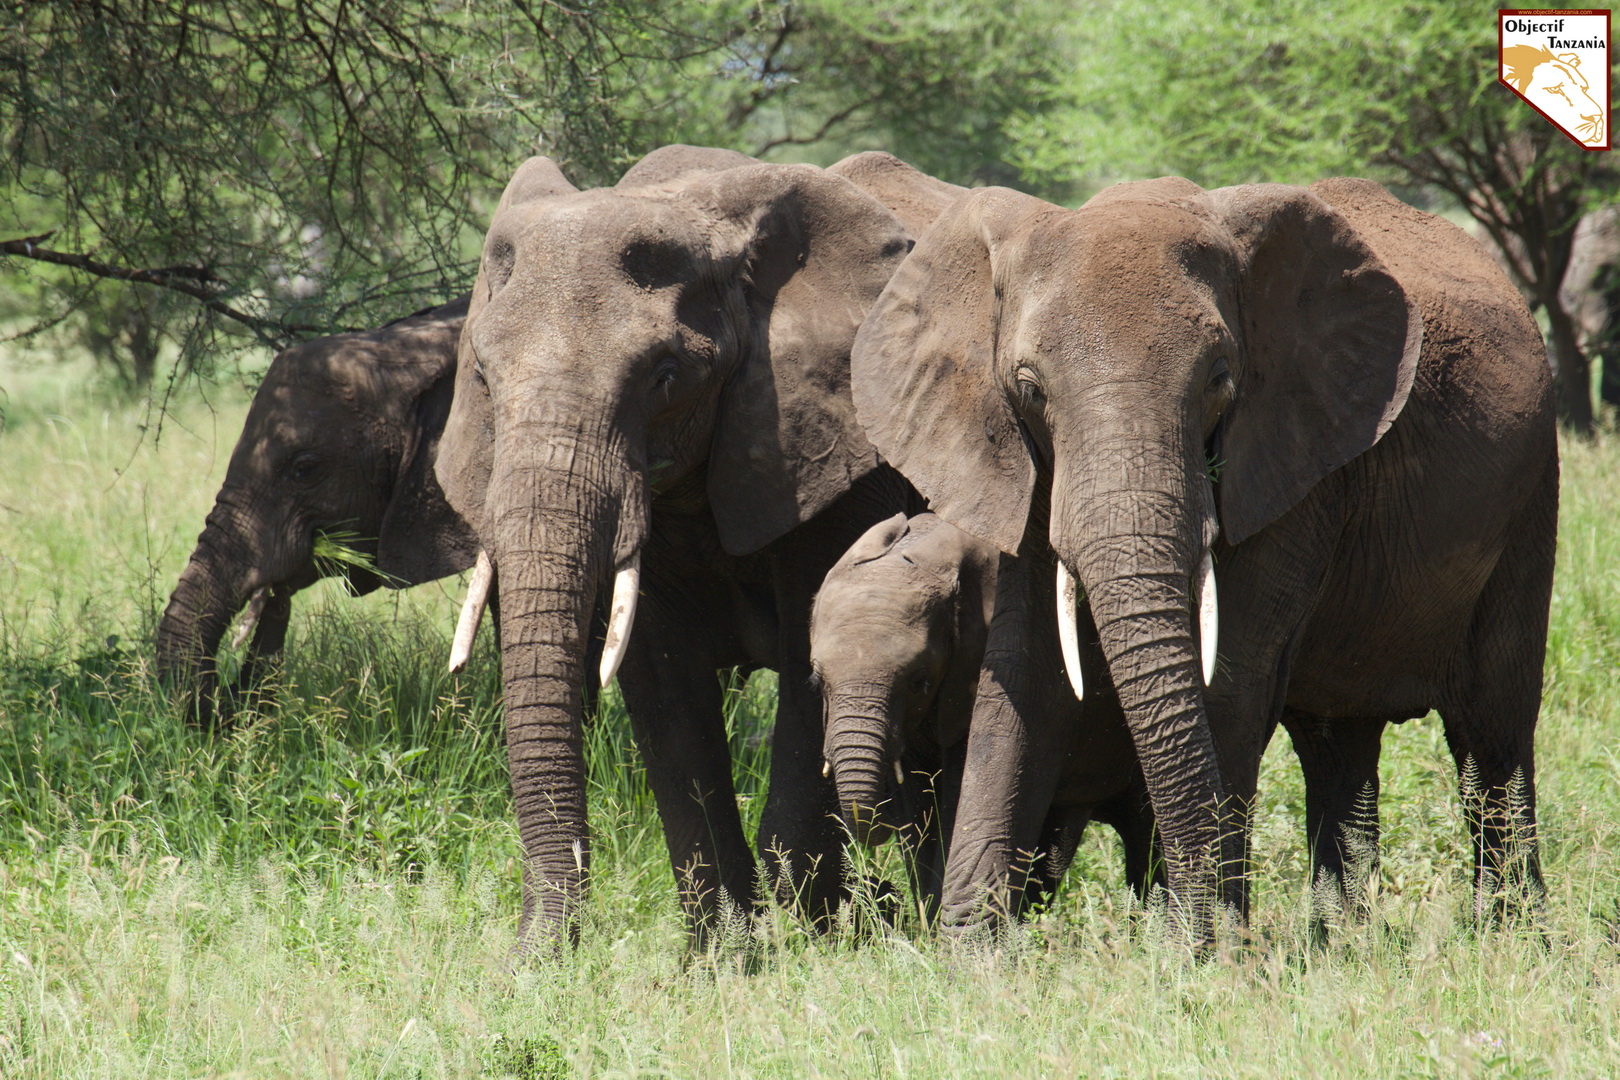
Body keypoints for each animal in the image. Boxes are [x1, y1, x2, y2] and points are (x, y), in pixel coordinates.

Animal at [437, 143, 946, 945]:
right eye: (483, 378)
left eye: (665, 376)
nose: (528, 959)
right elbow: (663, 685)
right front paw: (725, 953)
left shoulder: (842, 454)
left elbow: (813, 659)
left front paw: (827, 927)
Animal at [816, 511, 1159, 919]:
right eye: (818, 680)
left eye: (918, 681)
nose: (878, 884)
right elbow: (917, 808)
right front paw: (927, 917)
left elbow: (955, 803)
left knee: (1145, 834)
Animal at [855, 173, 1561, 939]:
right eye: (1029, 388)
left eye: (1220, 379)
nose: (1201, 923)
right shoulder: (1019, 464)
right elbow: (1028, 671)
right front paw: (970, 949)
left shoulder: (1291, 456)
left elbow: (1228, 676)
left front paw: (1195, 946)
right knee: (1336, 742)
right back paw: (1341, 941)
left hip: (1532, 491)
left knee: (1492, 727)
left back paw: (1509, 934)